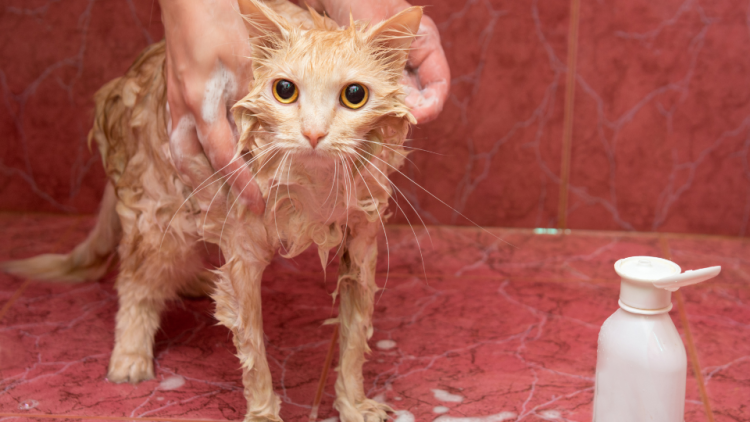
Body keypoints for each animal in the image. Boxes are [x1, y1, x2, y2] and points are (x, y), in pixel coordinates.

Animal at [2, 1, 424, 420]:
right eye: (284, 90)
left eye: (354, 95)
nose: (314, 133)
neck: (313, 190)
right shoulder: (244, 252)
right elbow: (254, 351)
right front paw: (263, 412)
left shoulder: (362, 242)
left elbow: (353, 339)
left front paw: (353, 404)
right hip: (158, 212)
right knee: (136, 284)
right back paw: (130, 356)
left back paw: (193, 283)